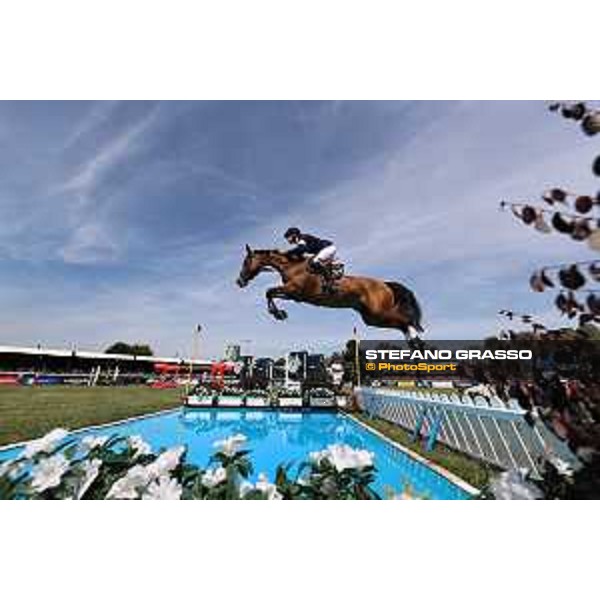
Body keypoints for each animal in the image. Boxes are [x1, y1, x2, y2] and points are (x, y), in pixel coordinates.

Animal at [234, 244, 422, 338]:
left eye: (245, 262)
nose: (239, 281)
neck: (291, 267)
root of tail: (385, 284)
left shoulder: (294, 290)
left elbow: (269, 291)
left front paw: (279, 314)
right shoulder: (294, 295)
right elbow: (270, 293)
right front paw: (279, 313)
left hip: (379, 312)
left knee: (405, 321)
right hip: (371, 318)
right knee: (401, 325)